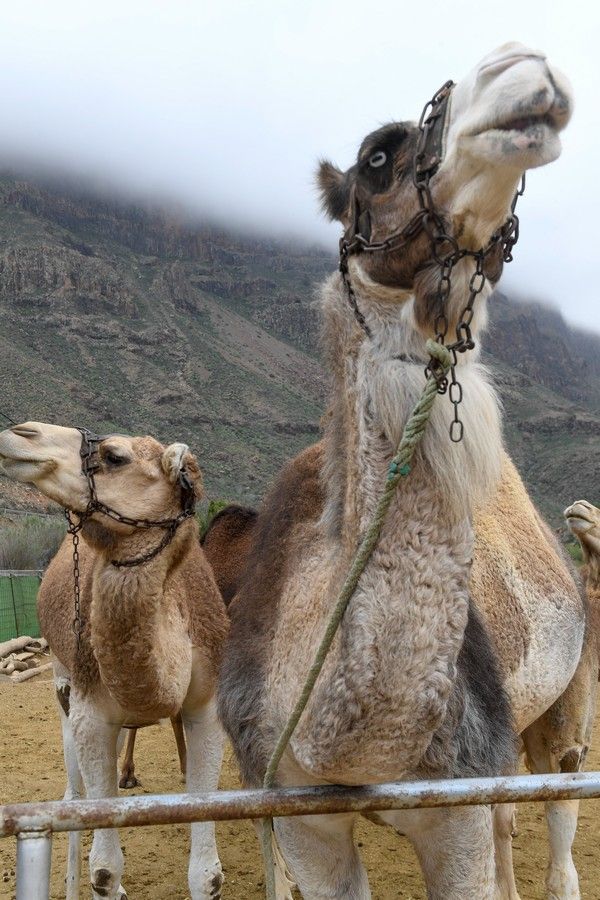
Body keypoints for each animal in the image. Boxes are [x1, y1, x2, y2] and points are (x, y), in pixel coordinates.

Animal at [0, 422, 229, 900]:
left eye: (114, 456)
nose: (20, 433)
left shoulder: (205, 708)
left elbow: (208, 873)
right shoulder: (89, 712)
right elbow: (104, 870)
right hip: (63, 681)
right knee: (72, 798)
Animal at [217, 44, 592, 900]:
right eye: (378, 157)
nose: (523, 69)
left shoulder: (452, 806)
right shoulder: (299, 812)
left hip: (572, 682)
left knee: (558, 795)